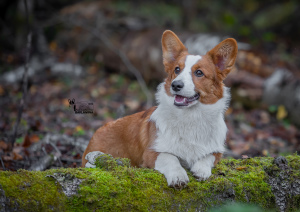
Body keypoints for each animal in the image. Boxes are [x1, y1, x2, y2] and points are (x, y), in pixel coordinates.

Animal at [81, 30, 237, 189]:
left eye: (199, 73)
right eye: (177, 69)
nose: (176, 85)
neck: (190, 117)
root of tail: (95, 134)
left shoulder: (216, 152)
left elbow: (207, 157)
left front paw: (201, 170)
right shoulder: (152, 153)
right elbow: (170, 158)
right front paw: (178, 176)